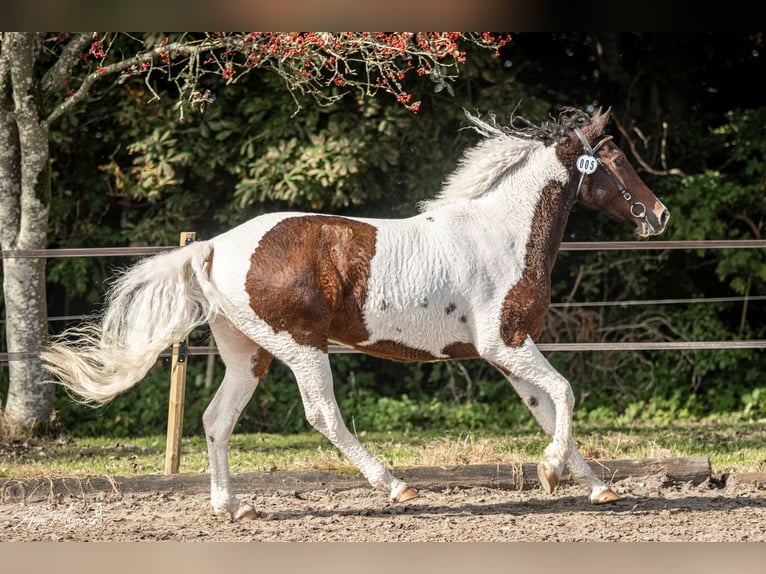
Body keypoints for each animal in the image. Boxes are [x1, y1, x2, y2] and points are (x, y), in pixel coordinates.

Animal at [40, 107, 672, 520]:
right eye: (617, 160)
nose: (660, 215)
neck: (502, 232)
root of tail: (214, 246)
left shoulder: (505, 355)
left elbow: (548, 409)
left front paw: (596, 487)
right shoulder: (506, 344)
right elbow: (566, 392)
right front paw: (550, 472)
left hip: (249, 355)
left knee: (217, 419)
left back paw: (232, 508)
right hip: (301, 347)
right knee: (322, 415)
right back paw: (395, 487)